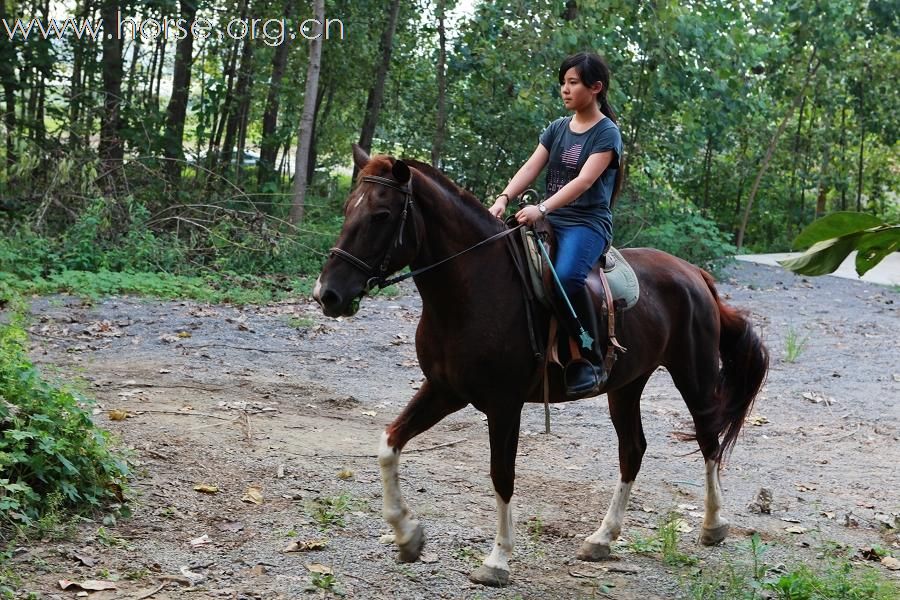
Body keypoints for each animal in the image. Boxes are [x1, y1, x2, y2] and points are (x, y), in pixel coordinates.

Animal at [314, 148, 768, 588]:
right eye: (348, 209)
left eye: (381, 214)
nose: (328, 294)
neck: (474, 287)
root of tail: (694, 274)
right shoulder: (443, 390)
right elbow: (389, 444)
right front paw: (407, 536)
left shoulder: (503, 404)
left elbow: (502, 474)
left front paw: (497, 561)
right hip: (626, 385)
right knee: (633, 450)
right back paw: (602, 538)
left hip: (693, 374)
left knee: (709, 438)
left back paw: (713, 525)